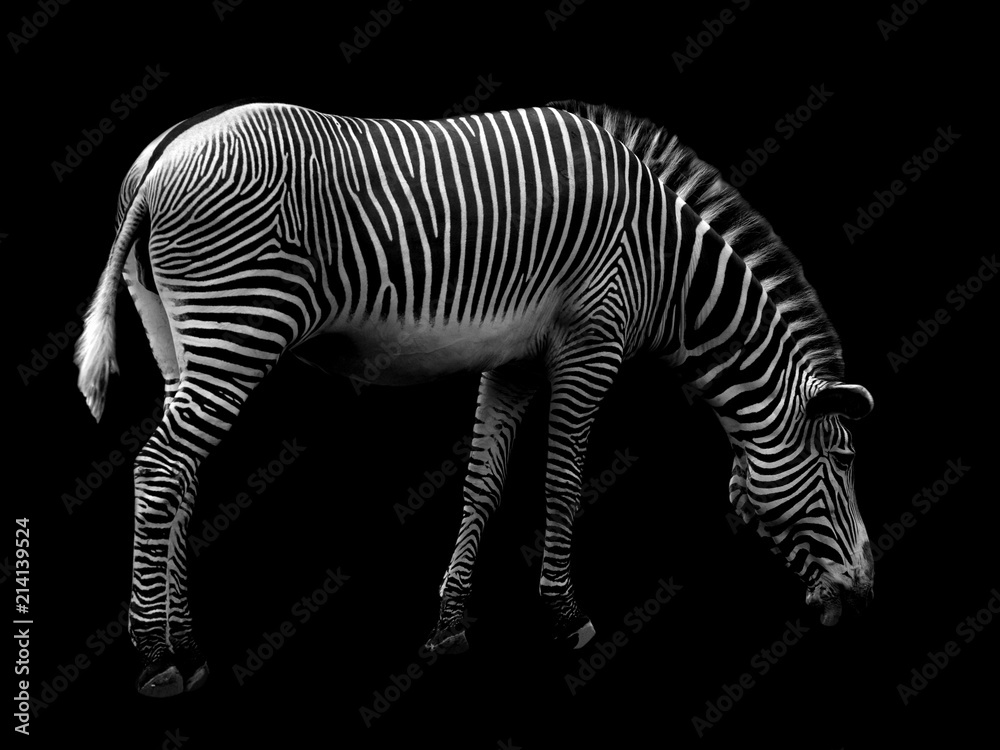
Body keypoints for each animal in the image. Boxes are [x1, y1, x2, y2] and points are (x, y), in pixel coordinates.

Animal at [75, 99, 874, 697]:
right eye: (842, 461)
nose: (865, 594)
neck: (669, 265)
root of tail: (164, 152)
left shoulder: (513, 359)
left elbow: (484, 486)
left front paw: (450, 623)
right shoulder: (593, 341)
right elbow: (562, 482)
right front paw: (565, 616)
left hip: (176, 334)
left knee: (183, 474)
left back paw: (186, 642)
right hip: (240, 323)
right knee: (159, 467)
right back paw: (156, 656)